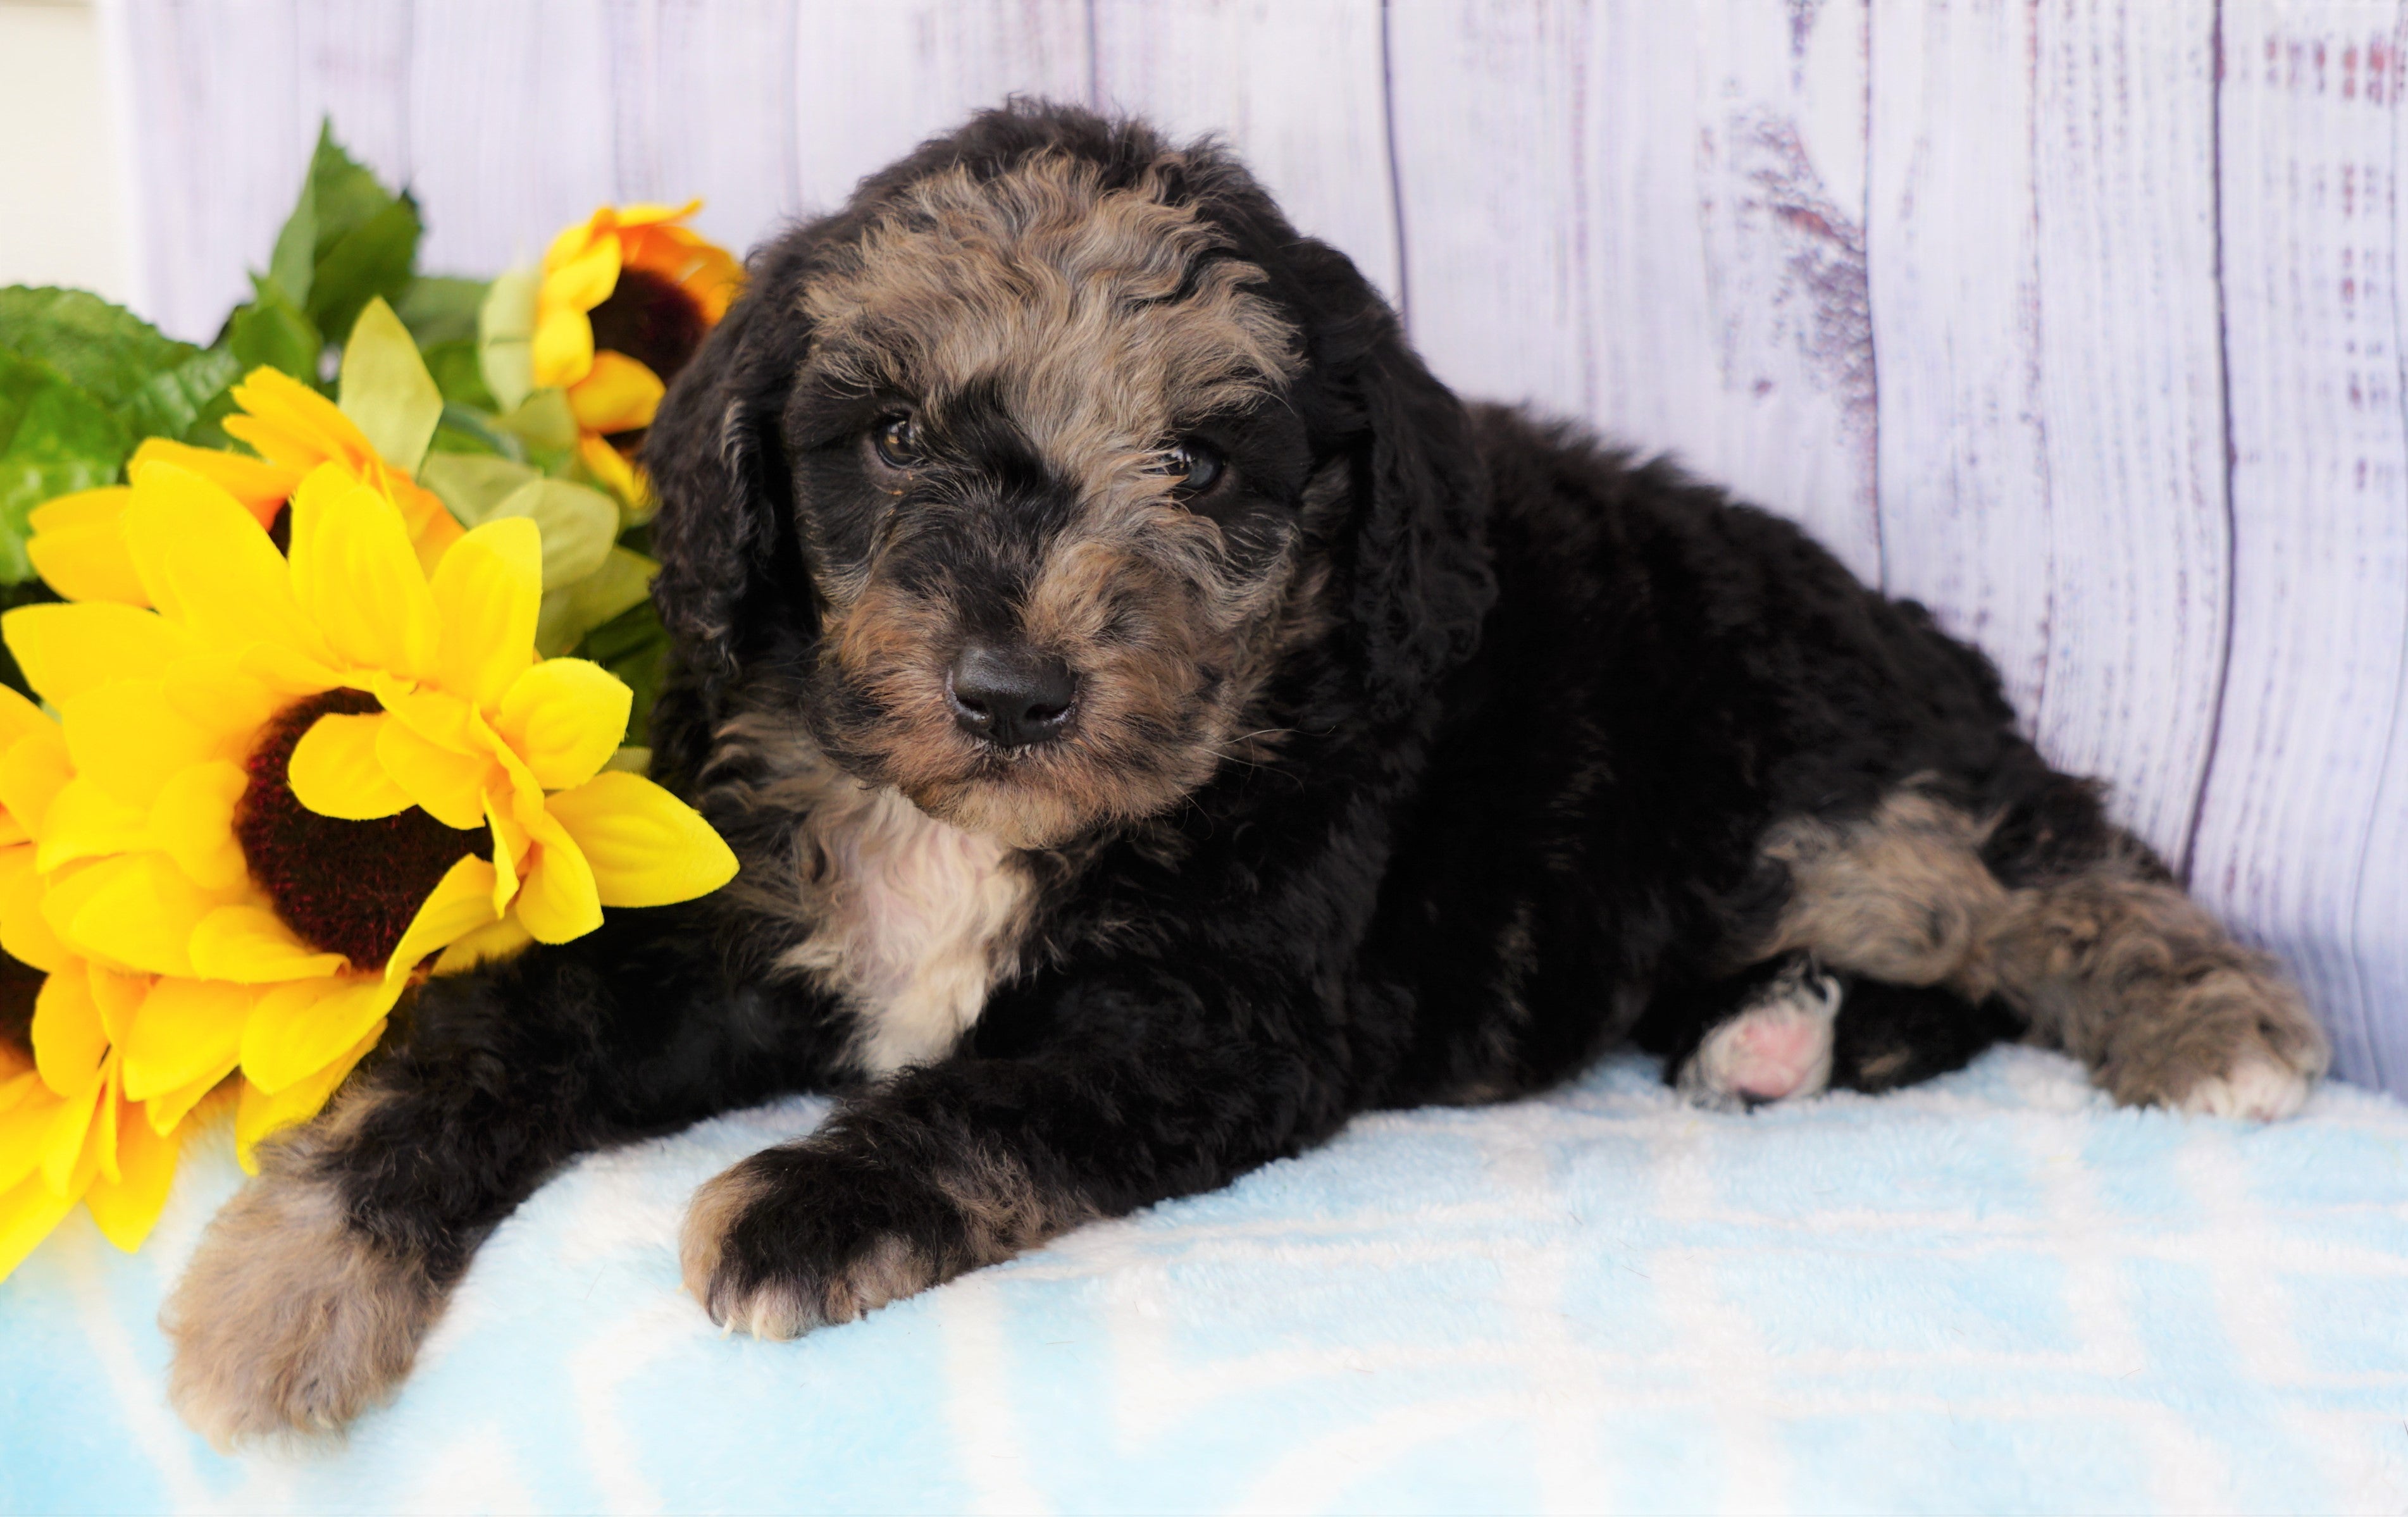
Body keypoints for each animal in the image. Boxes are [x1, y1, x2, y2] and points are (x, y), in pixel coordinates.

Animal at [160, 101, 2321, 1444]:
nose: (1009, 686)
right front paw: (279, 1293)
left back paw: (2209, 1017)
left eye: (1203, 461)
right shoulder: (727, 928)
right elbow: (478, 1040)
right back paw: (1774, 1031)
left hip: (1814, 758)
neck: (988, 831)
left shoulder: (1212, 1005)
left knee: (2022, 860)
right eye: (890, 436)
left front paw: (795, 1208)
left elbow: (991, 1097)